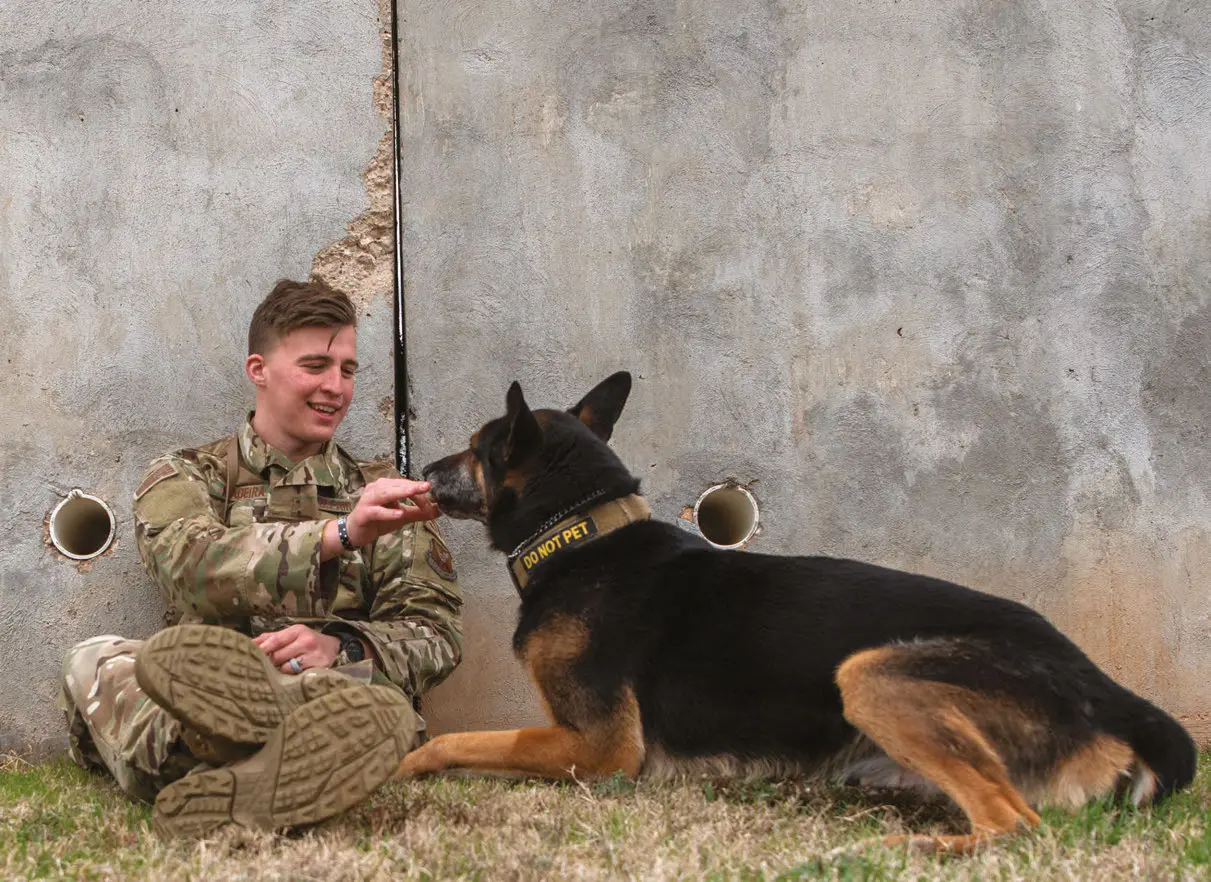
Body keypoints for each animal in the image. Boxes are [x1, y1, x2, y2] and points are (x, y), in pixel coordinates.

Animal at [402, 373, 1196, 852]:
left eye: (474, 450)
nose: (421, 472)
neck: (582, 534)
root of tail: (1107, 690)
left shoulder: (599, 748)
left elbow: (453, 741)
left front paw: (407, 763)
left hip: (872, 674)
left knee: (1016, 823)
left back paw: (922, 845)